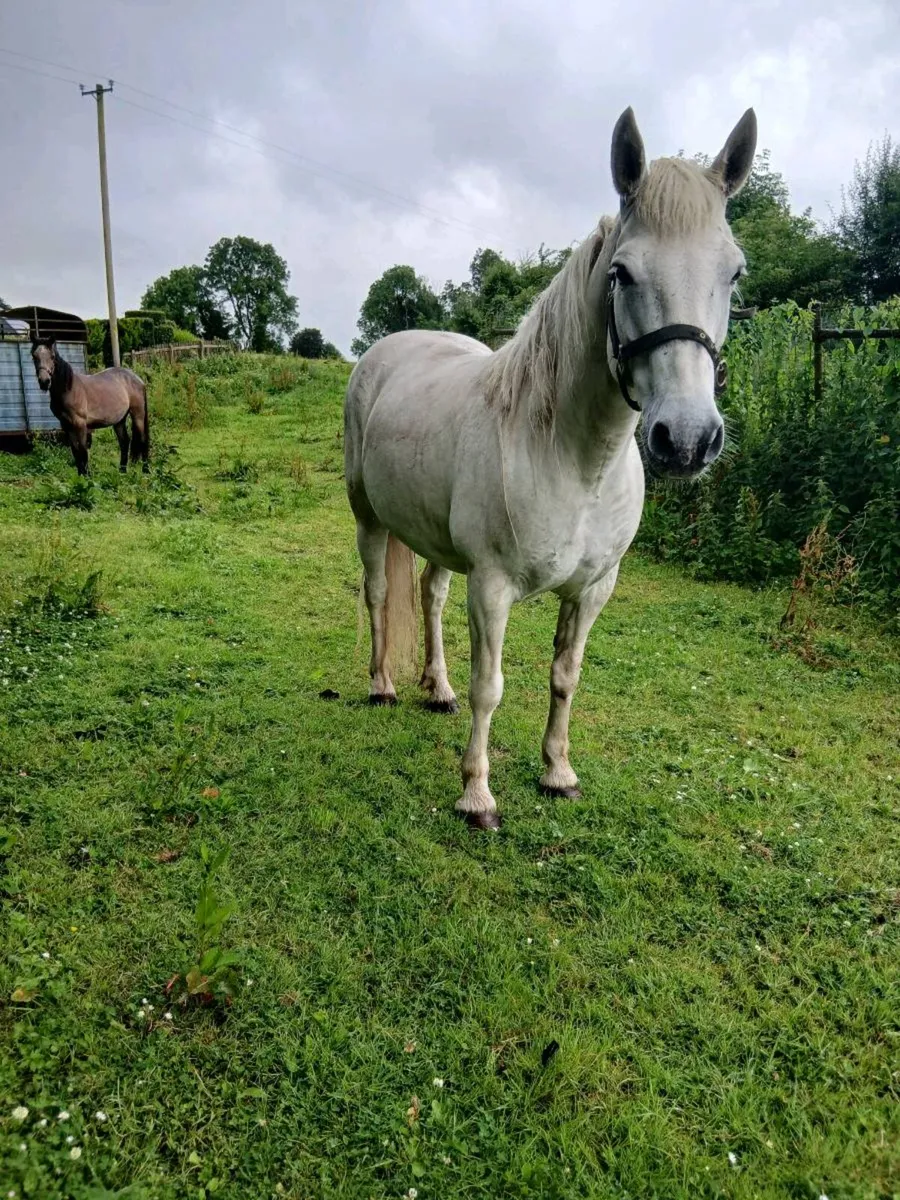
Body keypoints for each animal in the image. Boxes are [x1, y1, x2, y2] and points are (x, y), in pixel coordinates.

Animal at [30, 338, 149, 475]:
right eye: (34, 356)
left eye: (52, 356)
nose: (44, 382)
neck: (69, 389)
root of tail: (137, 379)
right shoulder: (66, 426)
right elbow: (75, 453)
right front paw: (80, 476)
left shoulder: (80, 424)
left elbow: (83, 452)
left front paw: (87, 477)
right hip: (119, 420)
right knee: (124, 442)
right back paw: (122, 472)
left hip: (138, 415)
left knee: (142, 440)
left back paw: (146, 471)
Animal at [344, 106, 757, 830]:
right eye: (621, 273)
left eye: (733, 273)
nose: (686, 439)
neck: (574, 459)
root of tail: (385, 352)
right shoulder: (493, 586)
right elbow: (491, 685)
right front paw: (477, 795)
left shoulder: (592, 590)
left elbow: (565, 676)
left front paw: (558, 772)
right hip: (369, 518)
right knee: (378, 595)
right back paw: (384, 685)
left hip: (435, 539)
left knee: (428, 594)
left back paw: (436, 688)